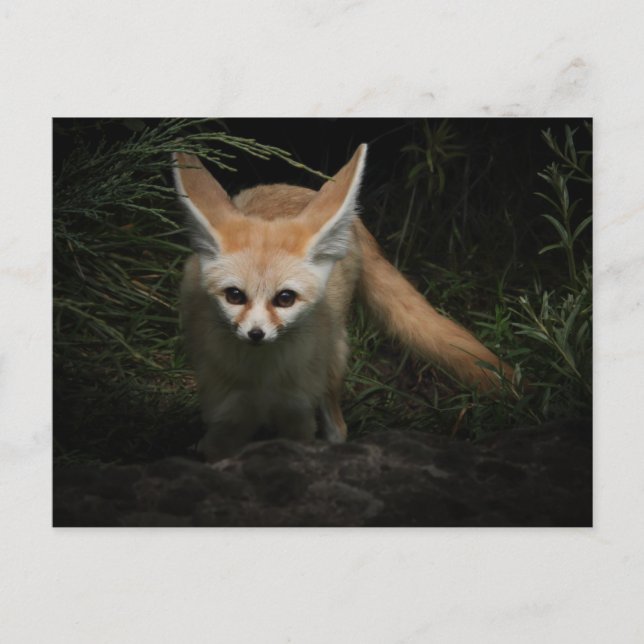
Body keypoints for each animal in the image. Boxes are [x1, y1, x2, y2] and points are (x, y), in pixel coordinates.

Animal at [173, 144, 514, 462]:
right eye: (234, 295)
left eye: (285, 298)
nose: (256, 334)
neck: (262, 379)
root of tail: (298, 188)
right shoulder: (226, 417)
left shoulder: (297, 416)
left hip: (333, 364)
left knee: (338, 426)